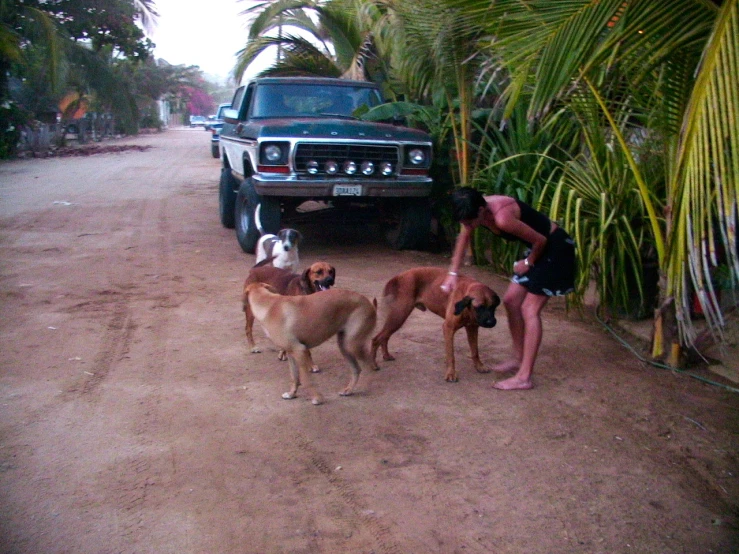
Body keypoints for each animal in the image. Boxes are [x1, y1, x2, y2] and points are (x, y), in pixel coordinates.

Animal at [246, 282, 378, 404]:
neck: (269, 306)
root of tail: (369, 303)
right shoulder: (291, 353)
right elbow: (294, 377)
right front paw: (291, 394)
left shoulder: (299, 350)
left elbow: (306, 380)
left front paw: (317, 398)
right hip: (344, 346)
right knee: (357, 369)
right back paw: (349, 390)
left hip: (352, 345)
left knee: (368, 365)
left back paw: (365, 384)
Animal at [372, 266, 500, 380]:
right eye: (479, 307)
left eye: (493, 306)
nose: (491, 322)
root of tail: (398, 276)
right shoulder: (448, 328)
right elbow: (451, 355)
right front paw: (451, 374)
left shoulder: (472, 328)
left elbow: (475, 351)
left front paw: (479, 366)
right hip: (399, 316)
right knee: (376, 338)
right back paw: (373, 364)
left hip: (396, 319)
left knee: (385, 336)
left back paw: (386, 355)